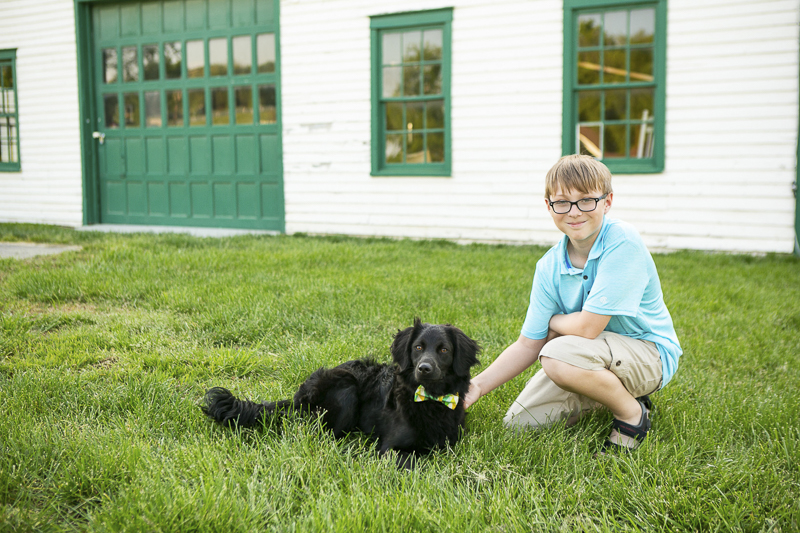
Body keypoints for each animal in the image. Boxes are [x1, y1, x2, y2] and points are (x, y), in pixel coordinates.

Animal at [205, 318, 482, 468]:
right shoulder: (389, 448)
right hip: (345, 387)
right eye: (418, 347)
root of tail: (297, 398)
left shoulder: (450, 442)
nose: (424, 368)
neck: (431, 399)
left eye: (444, 350)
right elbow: (414, 460)